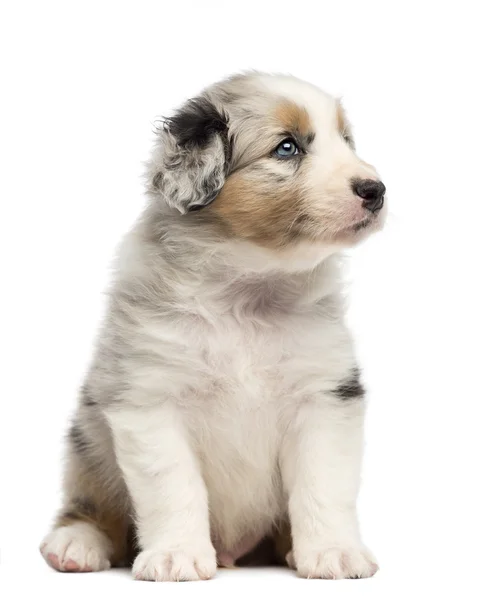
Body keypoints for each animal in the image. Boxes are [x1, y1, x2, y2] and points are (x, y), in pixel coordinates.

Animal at [39, 71, 388, 580]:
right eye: (287, 148)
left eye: (346, 140)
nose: (376, 190)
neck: (247, 293)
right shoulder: (150, 397)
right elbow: (175, 486)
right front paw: (176, 555)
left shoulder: (325, 395)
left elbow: (323, 484)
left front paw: (333, 552)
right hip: (87, 443)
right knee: (90, 506)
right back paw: (75, 543)